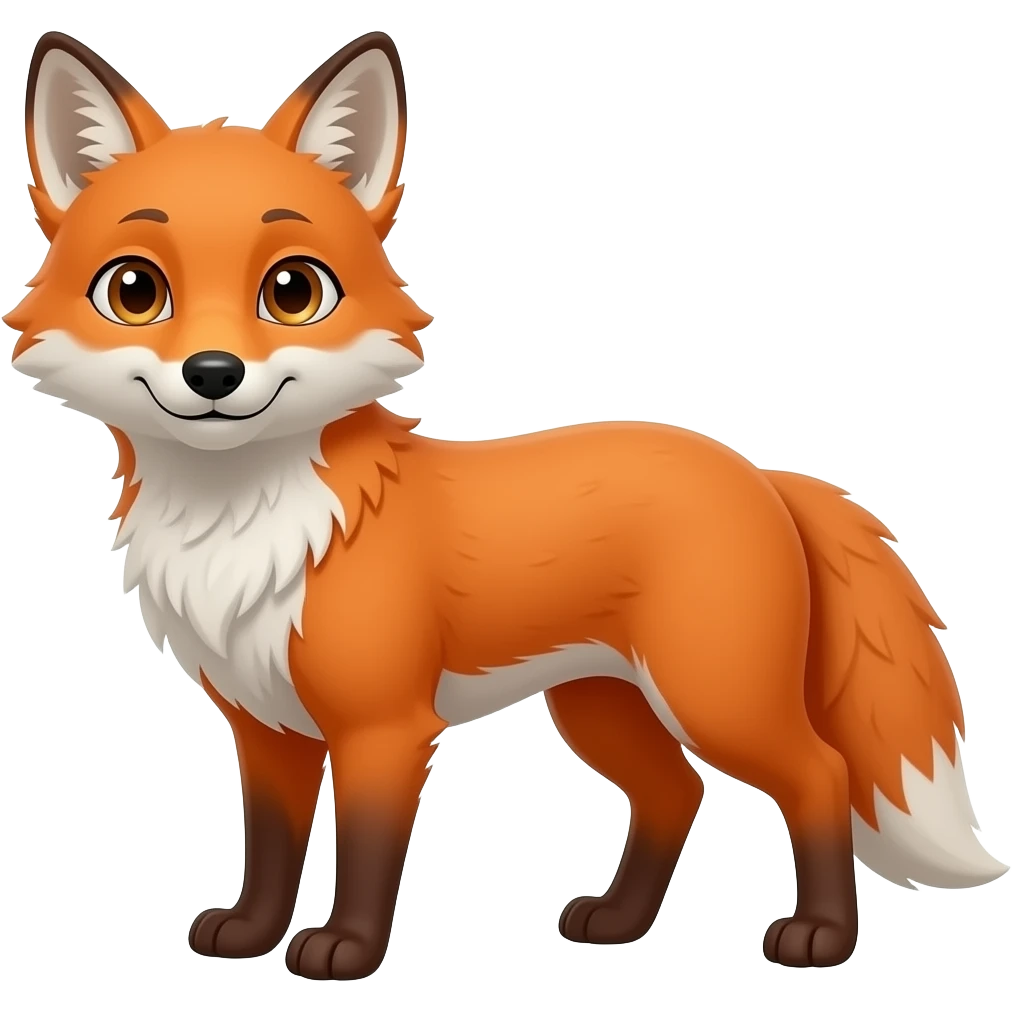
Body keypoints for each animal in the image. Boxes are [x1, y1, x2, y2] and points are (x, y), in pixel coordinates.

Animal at [8, 29, 1007, 981]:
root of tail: (761, 471)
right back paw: (619, 922)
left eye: (292, 290)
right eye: (135, 290)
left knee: (819, 775)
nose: (212, 374)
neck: (244, 525)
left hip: (717, 697)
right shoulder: (267, 724)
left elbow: (364, 852)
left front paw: (347, 952)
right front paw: (252, 934)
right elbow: (271, 847)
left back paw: (821, 937)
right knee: (676, 792)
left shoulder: (383, 728)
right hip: (603, 705)